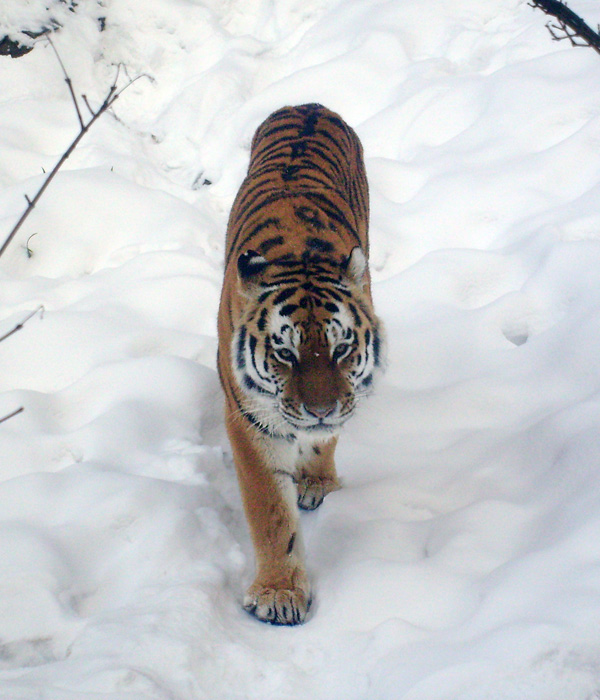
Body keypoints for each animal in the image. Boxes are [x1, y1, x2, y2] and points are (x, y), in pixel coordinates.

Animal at [217, 101, 384, 628]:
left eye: (341, 349)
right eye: (284, 353)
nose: (321, 410)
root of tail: (309, 103)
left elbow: (323, 441)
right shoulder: (250, 418)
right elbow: (270, 510)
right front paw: (279, 593)